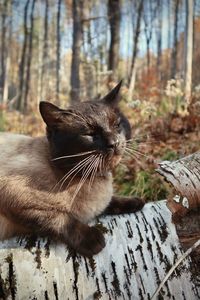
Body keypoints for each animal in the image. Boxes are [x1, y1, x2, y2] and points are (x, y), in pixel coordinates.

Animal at [0, 81, 144, 255]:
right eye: (90, 134)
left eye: (116, 125)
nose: (114, 143)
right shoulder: (15, 198)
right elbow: (60, 219)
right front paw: (94, 240)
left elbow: (111, 200)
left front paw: (136, 202)